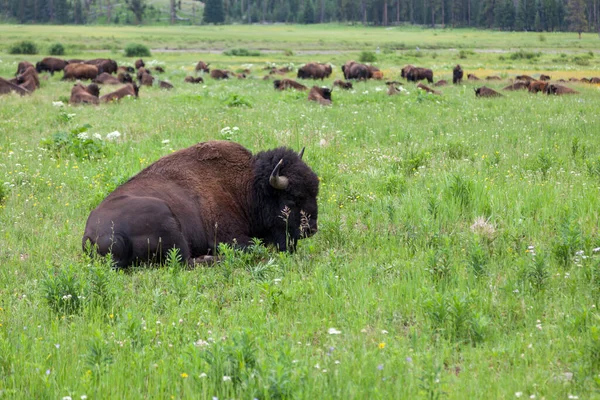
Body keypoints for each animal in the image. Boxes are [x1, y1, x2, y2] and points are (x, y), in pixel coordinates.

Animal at [84, 139, 322, 268]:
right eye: (292, 198)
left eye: (315, 191)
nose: (311, 229)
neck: (248, 186)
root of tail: (91, 234)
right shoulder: (229, 236)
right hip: (165, 218)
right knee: (184, 261)